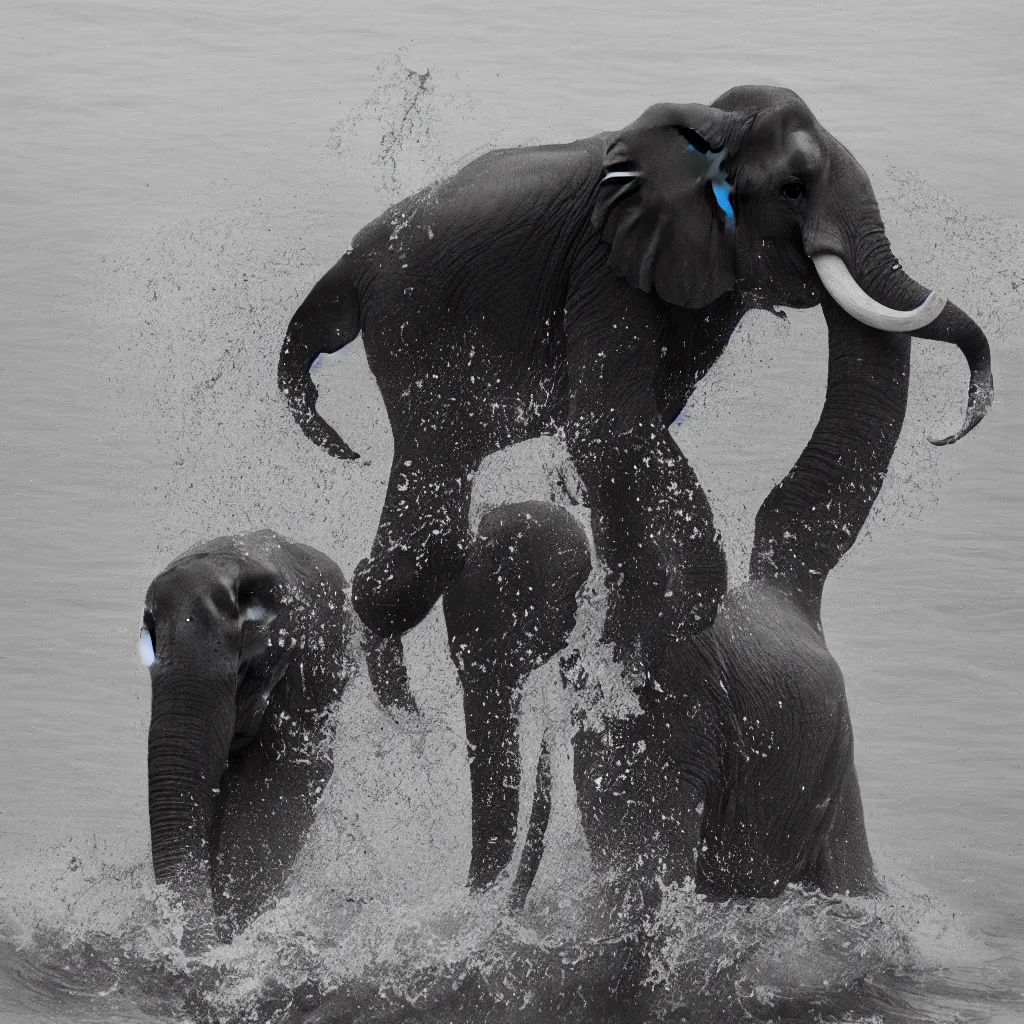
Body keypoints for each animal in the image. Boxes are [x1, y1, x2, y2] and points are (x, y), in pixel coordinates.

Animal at [278, 86, 991, 712]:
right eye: (792, 189)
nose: (951, 426)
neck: (711, 123)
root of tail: (347, 263)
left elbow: (629, 433)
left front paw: (622, 633)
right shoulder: (604, 262)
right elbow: (609, 424)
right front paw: (664, 622)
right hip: (414, 335)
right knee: (427, 518)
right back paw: (402, 708)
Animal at [444, 294, 933, 913]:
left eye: (513, 635)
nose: (495, 905)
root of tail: (791, 599)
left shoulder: (662, 708)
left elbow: (642, 882)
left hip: (830, 762)